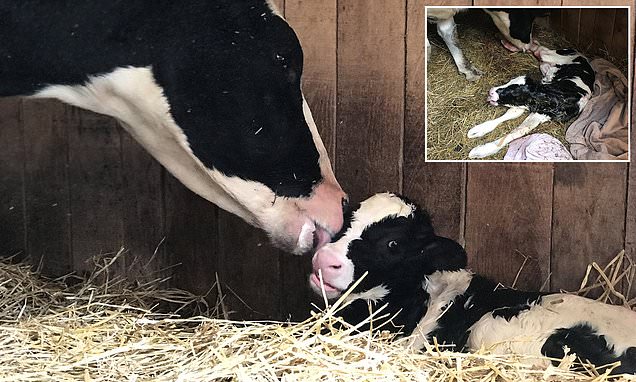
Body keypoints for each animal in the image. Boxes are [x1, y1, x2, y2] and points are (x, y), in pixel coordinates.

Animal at [468, 47, 596, 159]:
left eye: (514, 94)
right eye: (509, 81)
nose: (491, 91)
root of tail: (581, 54)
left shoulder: (540, 114)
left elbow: (519, 131)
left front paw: (482, 150)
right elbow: (510, 115)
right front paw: (477, 130)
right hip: (550, 56)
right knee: (541, 53)